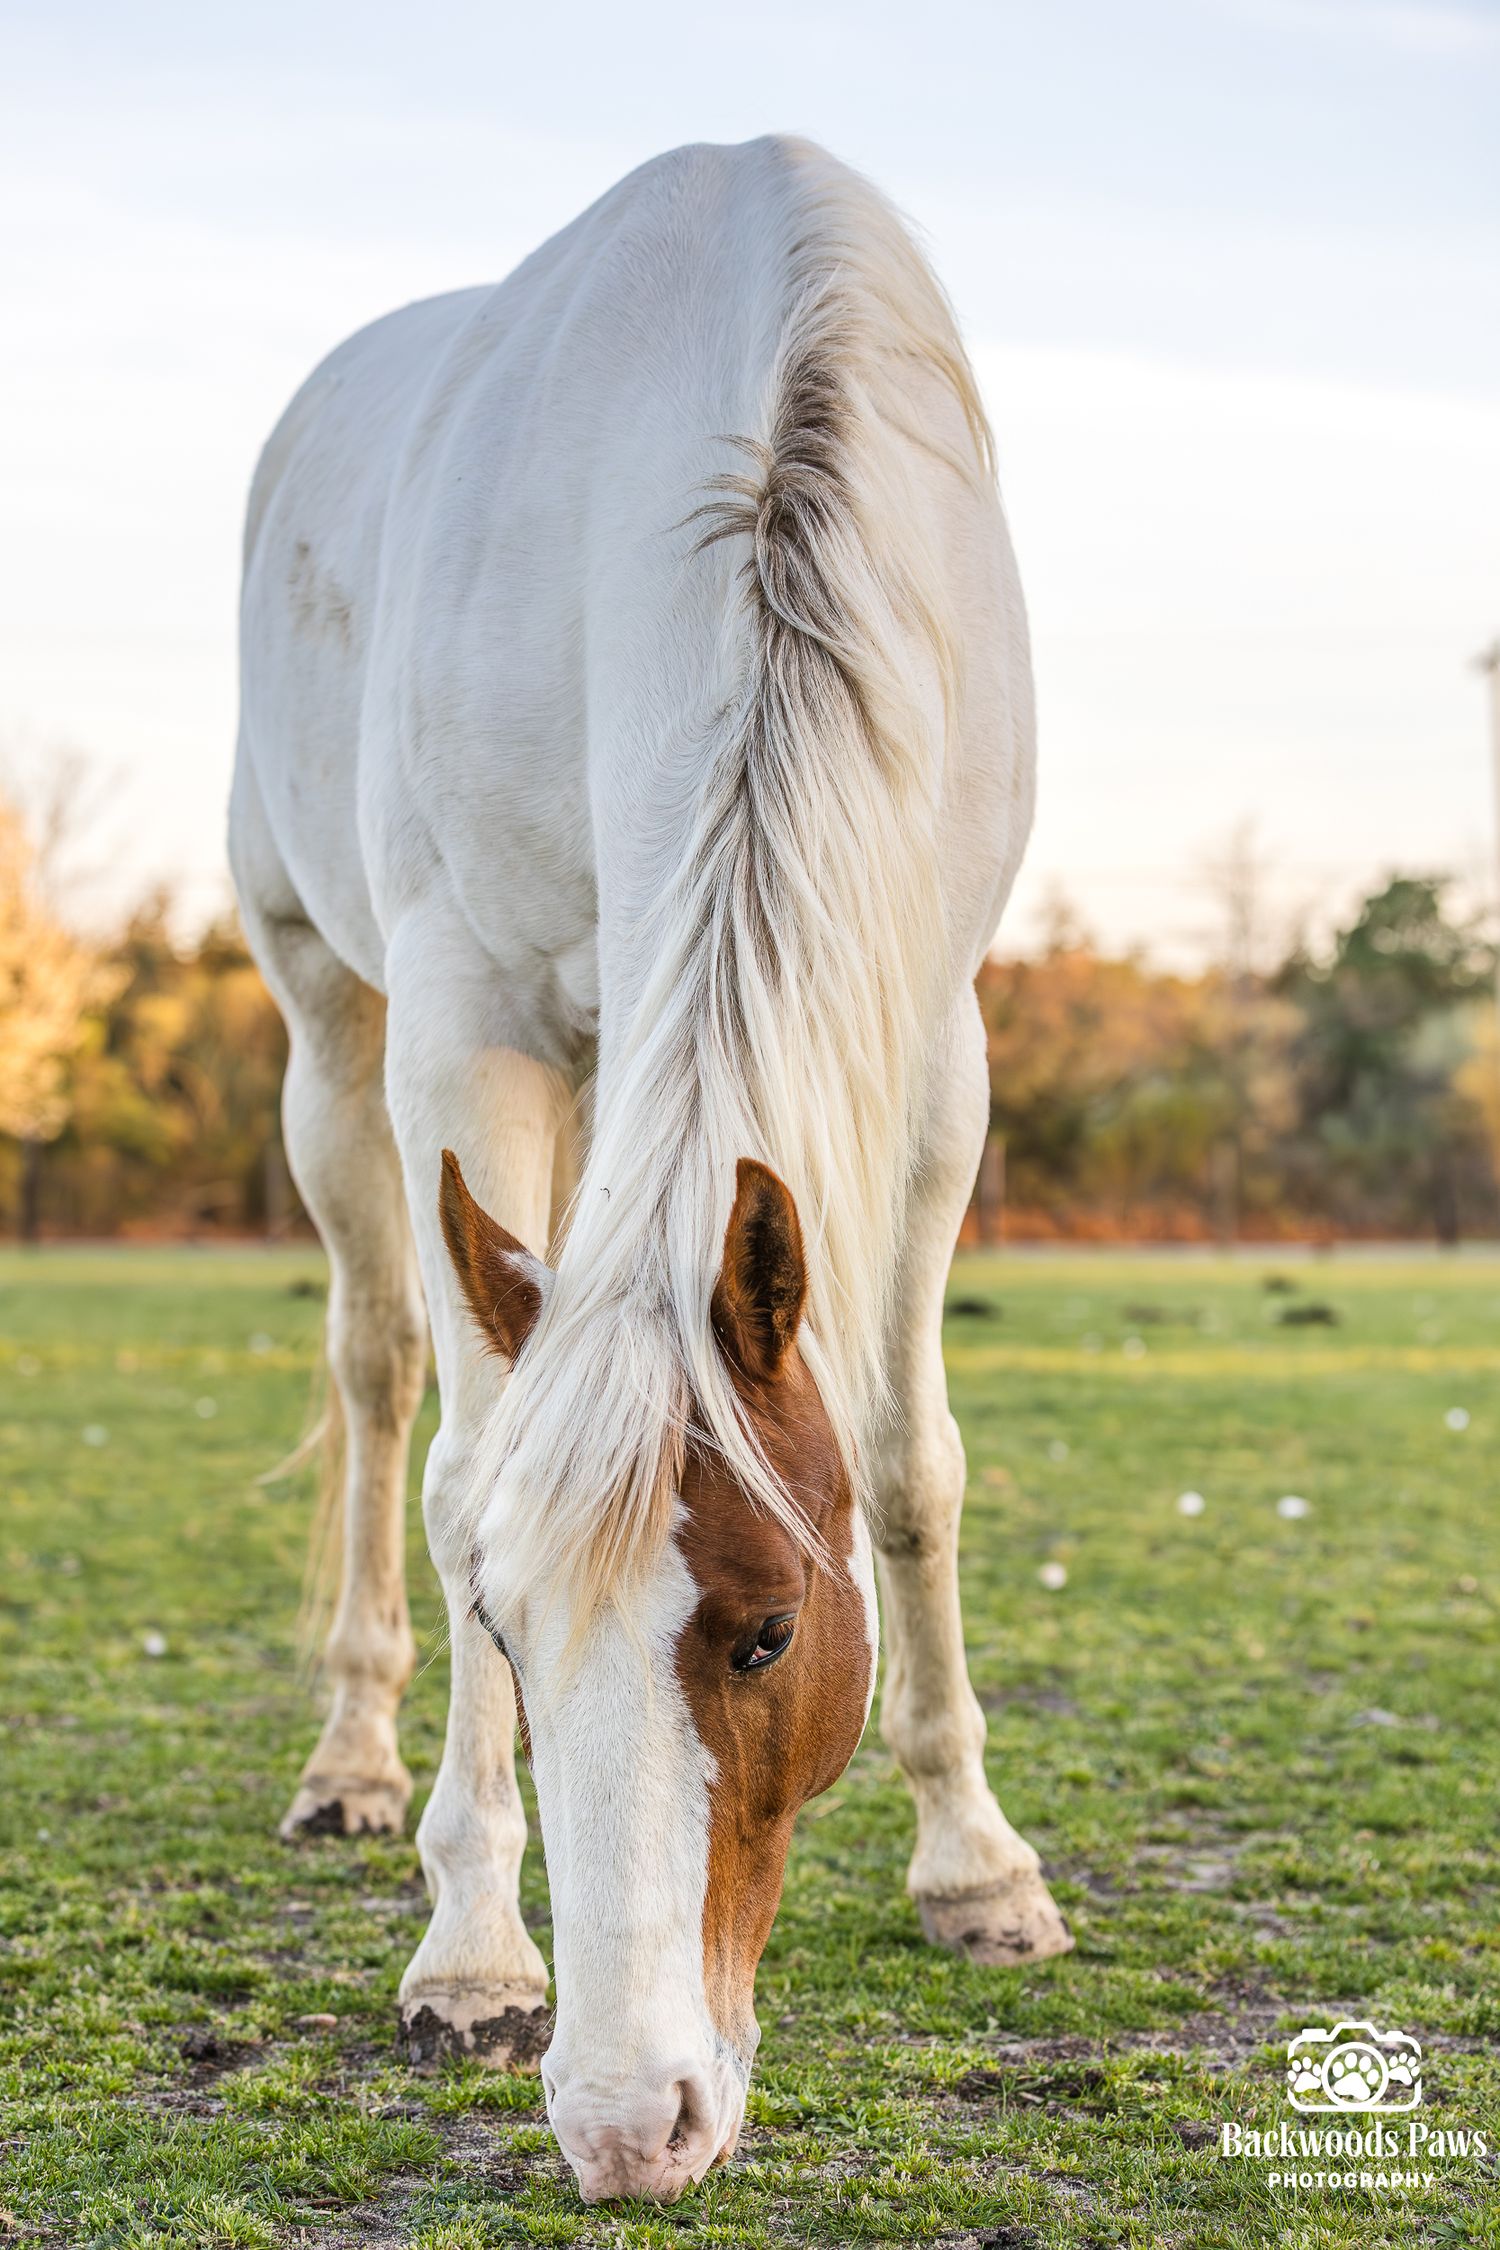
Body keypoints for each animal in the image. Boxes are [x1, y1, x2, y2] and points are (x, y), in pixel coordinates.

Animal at [230, 133, 1070, 2205]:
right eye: (510, 1632)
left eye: (768, 1630)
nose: (627, 2122)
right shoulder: (467, 1021)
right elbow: (458, 1474)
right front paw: (469, 1946)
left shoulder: (935, 1040)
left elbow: (910, 1464)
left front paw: (976, 1865)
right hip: (330, 1023)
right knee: (380, 1371)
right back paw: (352, 1764)